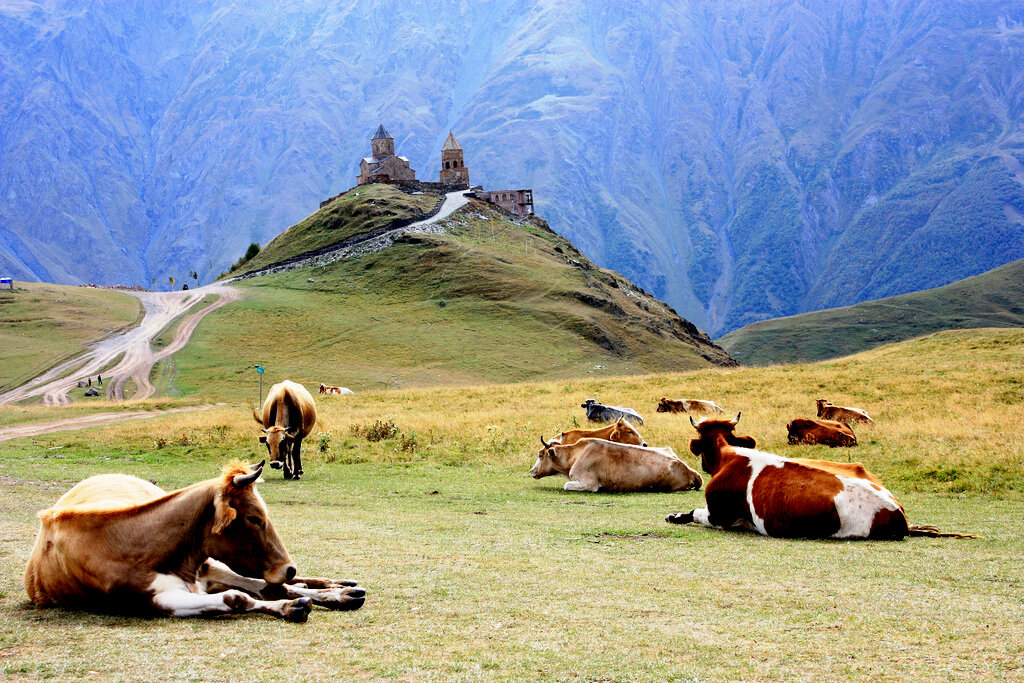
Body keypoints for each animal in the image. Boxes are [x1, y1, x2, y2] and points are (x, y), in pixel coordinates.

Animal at [22, 462, 368, 622]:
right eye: (254, 518)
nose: (289, 568)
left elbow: (264, 589)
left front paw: (319, 594)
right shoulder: (151, 601)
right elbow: (238, 598)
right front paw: (290, 607)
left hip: (212, 564)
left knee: (269, 583)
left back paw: (341, 589)